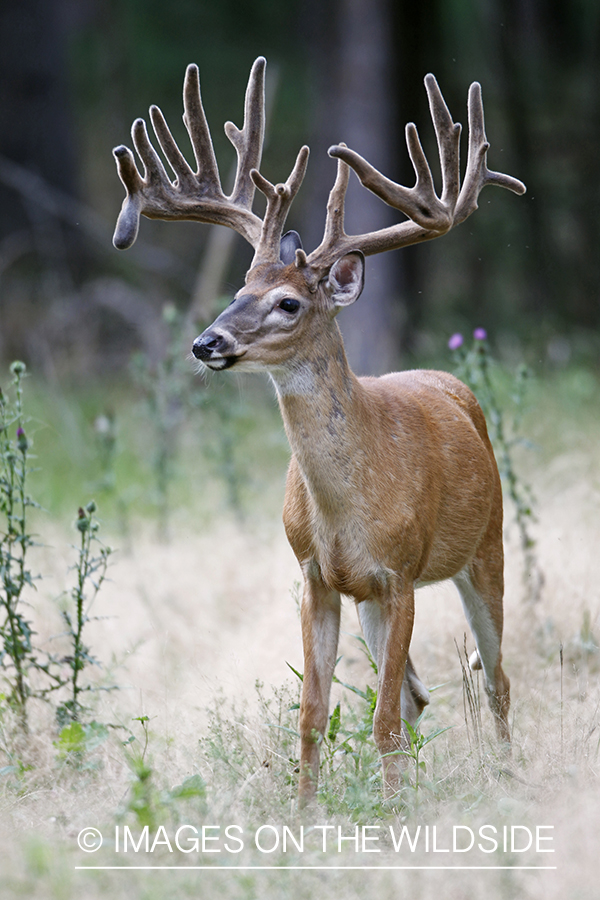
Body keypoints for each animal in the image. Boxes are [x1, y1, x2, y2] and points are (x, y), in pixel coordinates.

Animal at [112, 56, 524, 800]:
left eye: (288, 303)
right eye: (238, 290)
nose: (206, 343)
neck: (348, 505)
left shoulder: (401, 572)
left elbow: (382, 722)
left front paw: (391, 817)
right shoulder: (316, 575)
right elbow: (312, 716)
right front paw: (309, 815)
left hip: (487, 548)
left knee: (496, 679)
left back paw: (505, 777)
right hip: (372, 595)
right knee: (420, 695)